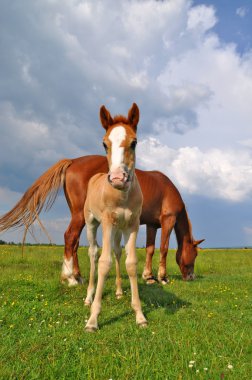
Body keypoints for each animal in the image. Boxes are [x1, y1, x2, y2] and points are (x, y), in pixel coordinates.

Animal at [83, 102, 147, 332]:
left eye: (134, 142)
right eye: (104, 144)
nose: (118, 178)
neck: (122, 197)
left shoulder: (133, 225)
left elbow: (131, 263)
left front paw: (139, 315)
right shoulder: (107, 223)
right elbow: (104, 263)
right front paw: (92, 320)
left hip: (119, 230)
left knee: (118, 253)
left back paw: (119, 291)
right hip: (92, 224)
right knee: (93, 253)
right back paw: (88, 297)